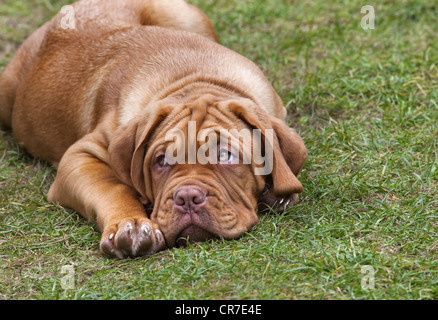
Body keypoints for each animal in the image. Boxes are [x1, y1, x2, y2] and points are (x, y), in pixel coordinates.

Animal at [0, 0, 306, 258]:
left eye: (224, 156)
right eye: (161, 161)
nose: (187, 197)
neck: (195, 79)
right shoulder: (80, 156)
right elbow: (113, 187)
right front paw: (131, 224)